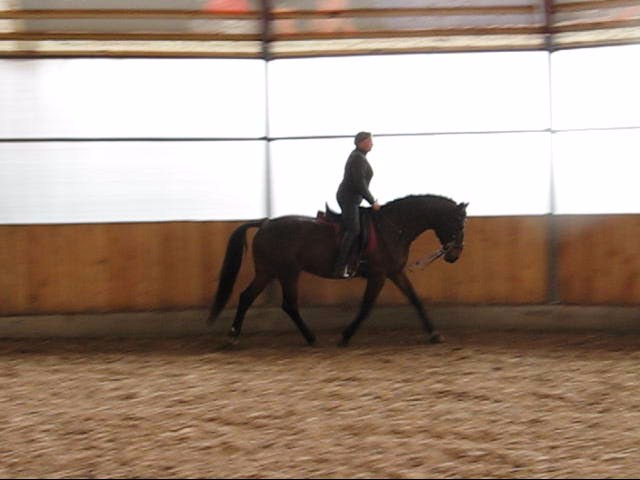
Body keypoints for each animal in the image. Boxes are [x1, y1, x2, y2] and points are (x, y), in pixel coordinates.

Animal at [207, 194, 468, 346]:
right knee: (288, 304)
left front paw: (434, 333)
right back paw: (309, 337)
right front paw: (346, 335)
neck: (393, 227)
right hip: (287, 273)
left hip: (268, 272)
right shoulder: (378, 275)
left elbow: (415, 300)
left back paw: (234, 335)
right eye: (458, 223)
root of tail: (265, 223)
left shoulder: (394, 272)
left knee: (246, 297)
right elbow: (366, 307)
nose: (455, 255)